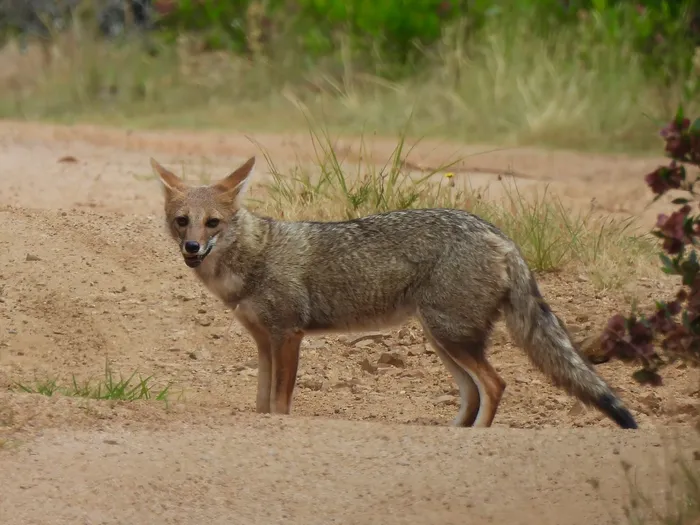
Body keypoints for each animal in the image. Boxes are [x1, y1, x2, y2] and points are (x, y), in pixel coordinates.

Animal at [150, 155, 638, 430]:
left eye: (212, 223)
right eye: (182, 221)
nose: (192, 248)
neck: (256, 255)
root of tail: (499, 233)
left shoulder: (288, 335)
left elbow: (280, 404)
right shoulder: (264, 342)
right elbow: (261, 404)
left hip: (451, 338)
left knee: (495, 385)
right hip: (443, 341)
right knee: (474, 393)